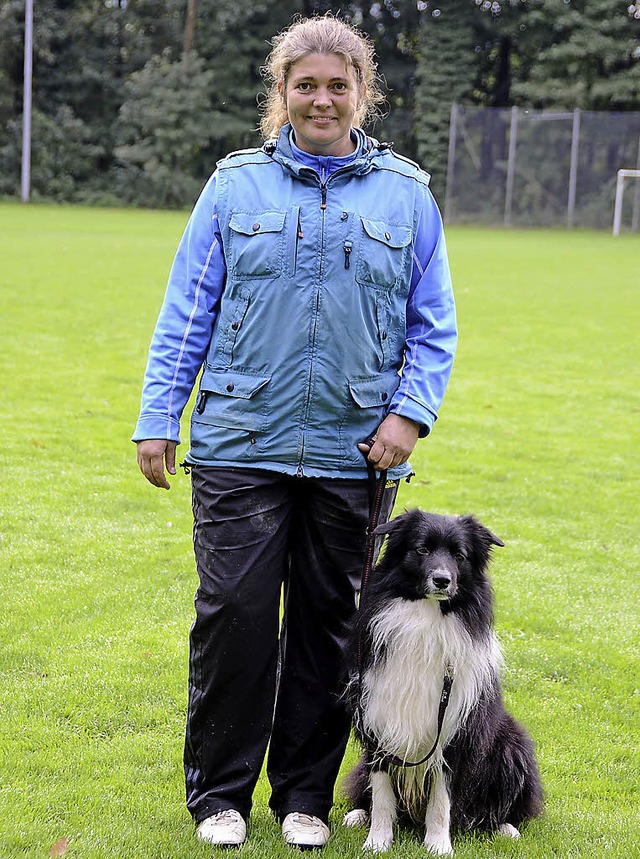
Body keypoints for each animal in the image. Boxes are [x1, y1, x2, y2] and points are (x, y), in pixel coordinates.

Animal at [342, 510, 544, 852]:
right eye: (422, 550)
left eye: (459, 556)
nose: (442, 580)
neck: (427, 618)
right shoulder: (378, 720)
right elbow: (381, 792)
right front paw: (378, 842)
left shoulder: (453, 731)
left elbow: (441, 798)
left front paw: (438, 846)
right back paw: (358, 815)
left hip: (511, 745)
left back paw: (504, 828)